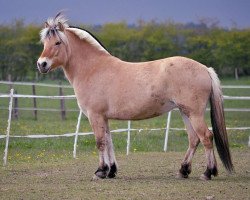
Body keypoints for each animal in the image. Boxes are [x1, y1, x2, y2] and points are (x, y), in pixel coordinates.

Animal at [36, 13, 233, 180]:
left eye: (57, 43)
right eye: (44, 43)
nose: (41, 64)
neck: (93, 69)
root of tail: (205, 68)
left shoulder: (95, 115)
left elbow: (100, 142)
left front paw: (100, 172)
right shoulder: (104, 117)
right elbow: (109, 141)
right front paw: (111, 171)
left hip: (194, 113)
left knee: (206, 137)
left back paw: (207, 173)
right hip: (185, 112)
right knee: (194, 139)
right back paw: (183, 171)